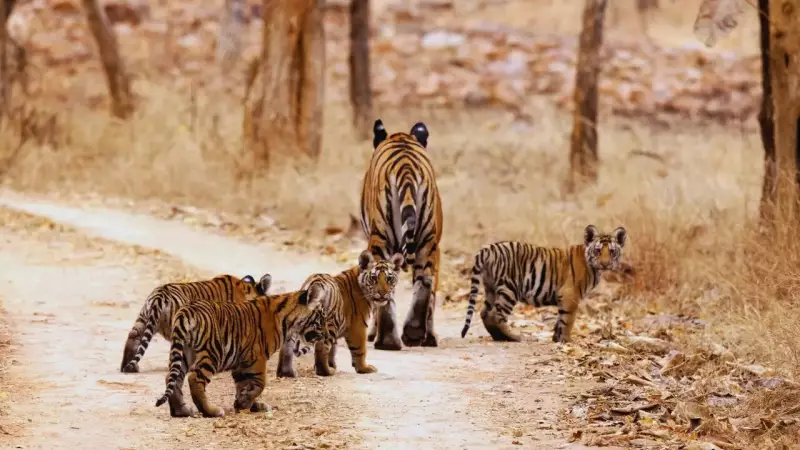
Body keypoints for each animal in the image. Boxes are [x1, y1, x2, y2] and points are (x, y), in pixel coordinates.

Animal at [154, 285, 328, 418]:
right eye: (321, 317)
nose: (325, 335)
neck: (289, 321)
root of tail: (186, 311)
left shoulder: (241, 363)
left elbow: (243, 385)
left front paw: (247, 404)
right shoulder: (257, 359)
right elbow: (260, 384)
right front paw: (245, 403)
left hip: (184, 353)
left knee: (172, 378)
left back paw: (181, 411)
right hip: (213, 354)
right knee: (194, 379)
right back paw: (211, 411)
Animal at [360, 119, 444, 350]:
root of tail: (406, 167)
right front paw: (430, 337)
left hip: (380, 239)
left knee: (382, 281)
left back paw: (386, 340)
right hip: (427, 240)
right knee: (425, 281)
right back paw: (413, 332)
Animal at [460, 225, 628, 343]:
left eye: (612, 251)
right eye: (598, 251)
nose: (605, 264)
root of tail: (488, 248)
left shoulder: (564, 298)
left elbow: (560, 319)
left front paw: (556, 338)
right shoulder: (570, 295)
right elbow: (568, 320)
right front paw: (567, 341)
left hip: (491, 288)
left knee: (485, 312)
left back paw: (498, 336)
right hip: (510, 289)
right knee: (496, 314)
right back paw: (513, 337)